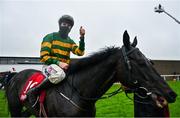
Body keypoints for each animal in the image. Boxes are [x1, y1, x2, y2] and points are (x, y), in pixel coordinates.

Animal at [4, 30, 176, 117]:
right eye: (141, 63)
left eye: (151, 62)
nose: (171, 94)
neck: (78, 95)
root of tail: (14, 75)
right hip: (15, 108)